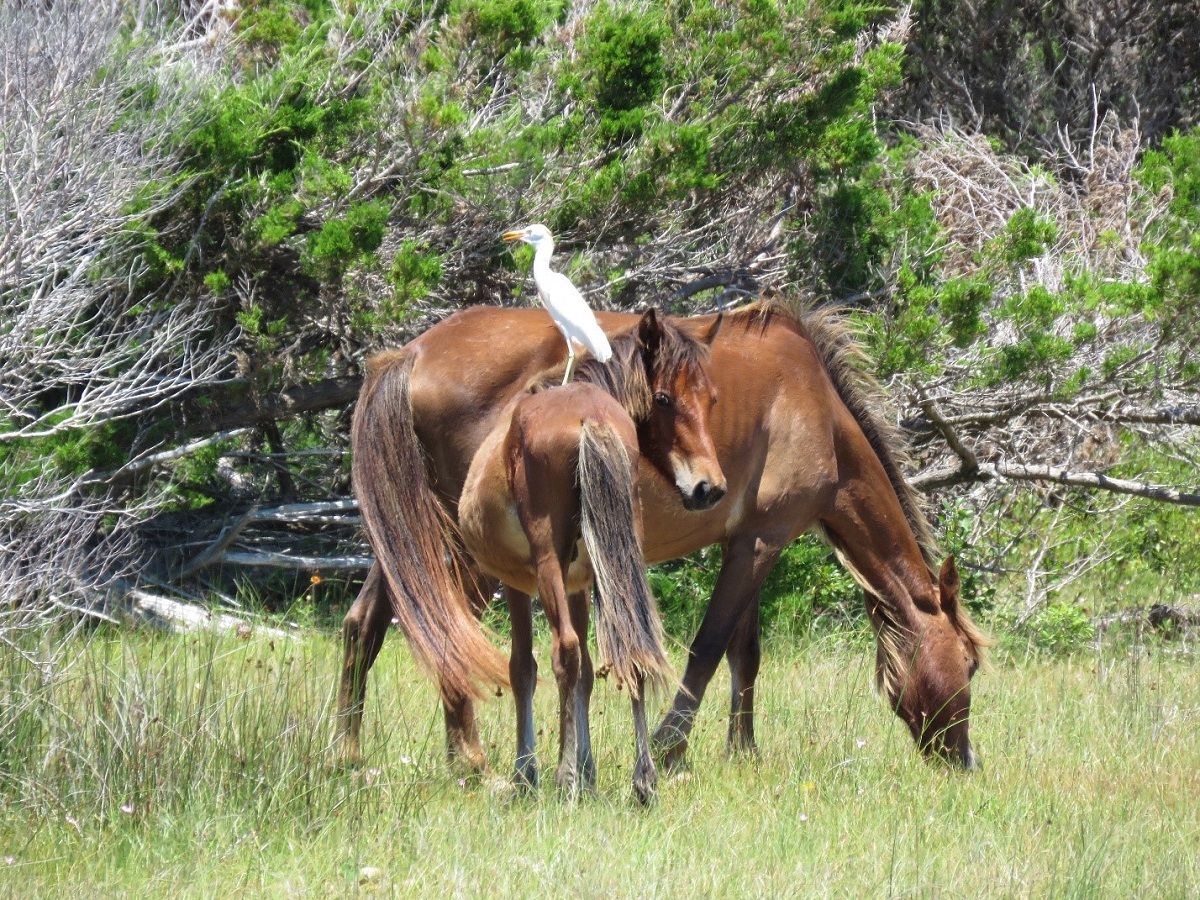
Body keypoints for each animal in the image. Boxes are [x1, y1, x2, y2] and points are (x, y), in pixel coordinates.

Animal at [333, 301, 988, 777]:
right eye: (970, 665)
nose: (966, 762)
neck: (815, 404)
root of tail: (412, 352)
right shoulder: (763, 541)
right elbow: (709, 646)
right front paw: (672, 749)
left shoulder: (747, 539)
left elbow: (745, 653)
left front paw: (742, 751)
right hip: (472, 549)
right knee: (446, 630)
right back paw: (468, 756)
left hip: (422, 537)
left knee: (369, 623)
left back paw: (351, 752)